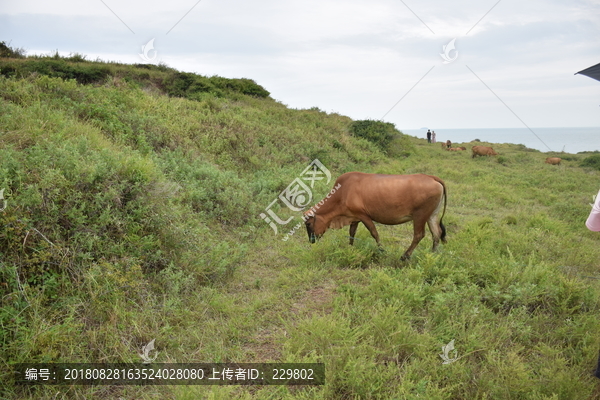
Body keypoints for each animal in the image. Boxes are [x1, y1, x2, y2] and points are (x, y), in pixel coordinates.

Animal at [304, 173, 446, 260]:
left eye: (308, 223)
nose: (311, 241)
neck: (342, 192)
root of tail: (432, 177)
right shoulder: (354, 217)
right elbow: (352, 233)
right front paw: (350, 247)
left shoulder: (363, 215)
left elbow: (374, 232)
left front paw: (381, 250)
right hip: (432, 215)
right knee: (436, 233)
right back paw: (433, 255)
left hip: (420, 215)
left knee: (419, 235)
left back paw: (405, 256)